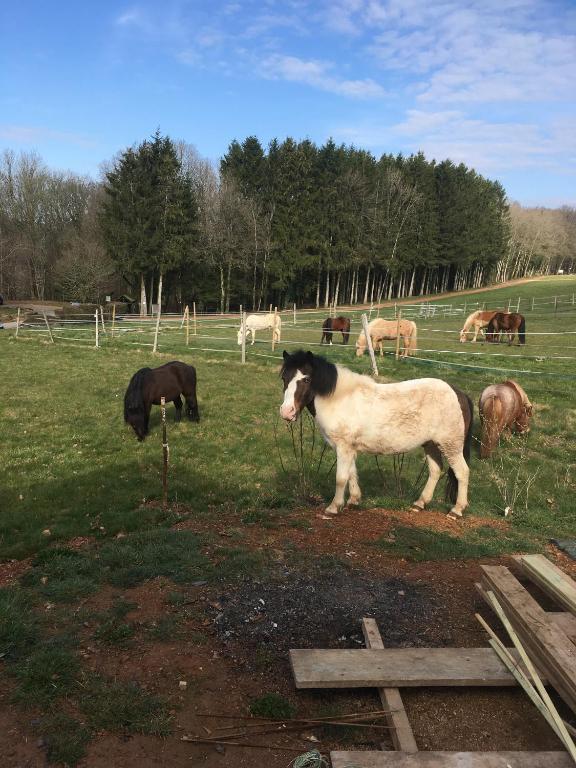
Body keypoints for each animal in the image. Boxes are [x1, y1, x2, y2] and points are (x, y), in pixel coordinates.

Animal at [279, 350, 473, 518]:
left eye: (306, 379)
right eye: (284, 378)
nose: (286, 412)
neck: (339, 398)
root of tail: (458, 393)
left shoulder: (343, 447)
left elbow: (341, 478)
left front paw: (333, 508)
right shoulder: (349, 448)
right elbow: (351, 473)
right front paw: (353, 500)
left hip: (451, 445)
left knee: (462, 472)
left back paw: (456, 510)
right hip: (431, 444)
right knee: (435, 470)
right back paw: (420, 503)